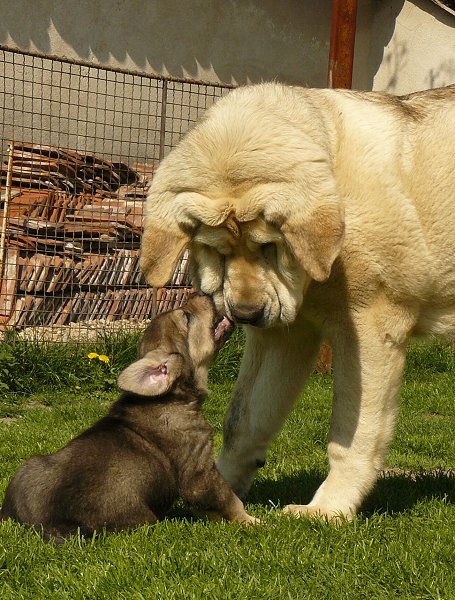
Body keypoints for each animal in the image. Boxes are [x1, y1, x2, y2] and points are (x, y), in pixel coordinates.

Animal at [0, 296, 256, 544]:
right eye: (186, 316)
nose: (207, 294)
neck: (171, 396)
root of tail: (48, 526)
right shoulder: (199, 471)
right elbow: (229, 499)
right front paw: (253, 522)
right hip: (144, 518)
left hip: (29, 465)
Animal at [140, 83, 455, 520]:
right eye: (217, 251)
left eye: (268, 246)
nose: (246, 313)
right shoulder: (284, 335)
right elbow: (243, 419)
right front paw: (222, 494)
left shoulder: (370, 331)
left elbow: (352, 433)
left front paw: (329, 510)